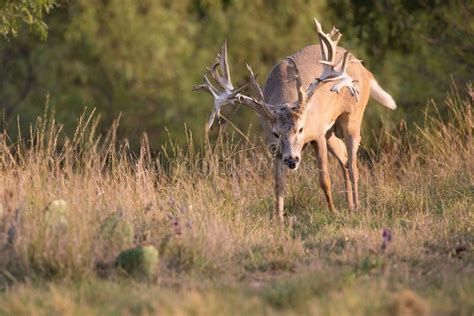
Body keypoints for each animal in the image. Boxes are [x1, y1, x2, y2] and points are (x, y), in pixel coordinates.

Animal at [193, 18, 396, 221]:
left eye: (301, 129)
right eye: (276, 133)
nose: (292, 160)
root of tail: (364, 69)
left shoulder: (317, 135)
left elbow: (324, 179)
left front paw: (332, 211)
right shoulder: (273, 146)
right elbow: (278, 183)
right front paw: (278, 219)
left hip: (351, 118)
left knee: (354, 165)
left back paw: (358, 208)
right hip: (331, 132)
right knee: (345, 160)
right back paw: (351, 206)